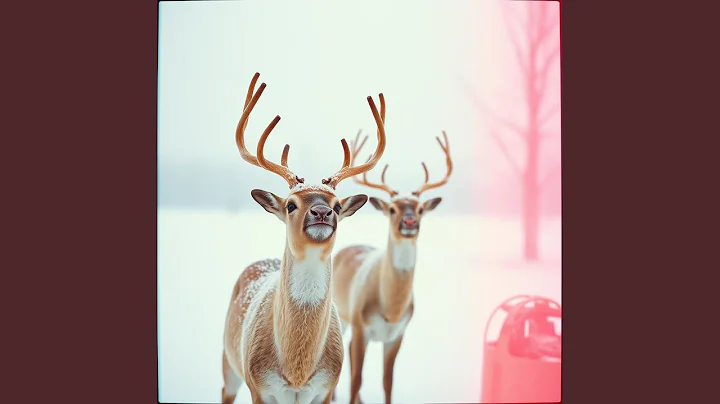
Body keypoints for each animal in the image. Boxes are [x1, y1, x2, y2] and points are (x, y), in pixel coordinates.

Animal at [221, 72, 388, 404]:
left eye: (337, 205)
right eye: (290, 204)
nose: (322, 212)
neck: (297, 370)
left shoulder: (326, 388)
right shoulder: (259, 387)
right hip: (229, 362)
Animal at [330, 114, 453, 404]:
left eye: (420, 209)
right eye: (393, 208)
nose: (409, 222)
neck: (390, 308)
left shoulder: (397, 335)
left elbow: (388, 382)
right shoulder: (362, 327)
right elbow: (357, 378)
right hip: (343, 314)